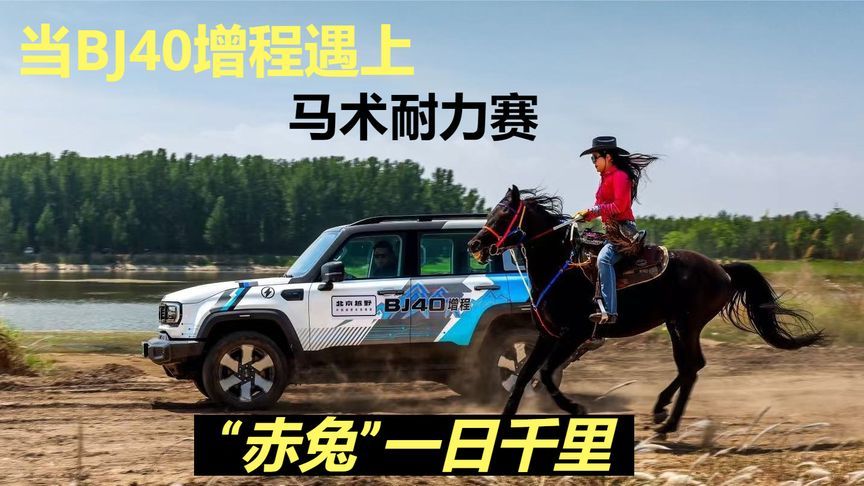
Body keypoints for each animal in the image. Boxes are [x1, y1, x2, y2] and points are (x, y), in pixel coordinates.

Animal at [467, 185, 825, 433]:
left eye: (502, 213)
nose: (475, 244)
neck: (561, 268)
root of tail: (722, 269)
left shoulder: (574, 334)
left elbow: (544, 374)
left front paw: (578, 409)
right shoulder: (547, 334)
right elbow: (524, 375)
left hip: (687, 324)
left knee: (690, 367)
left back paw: (667, 423)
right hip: (676, 325)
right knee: (690, 366)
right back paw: (661, 411)